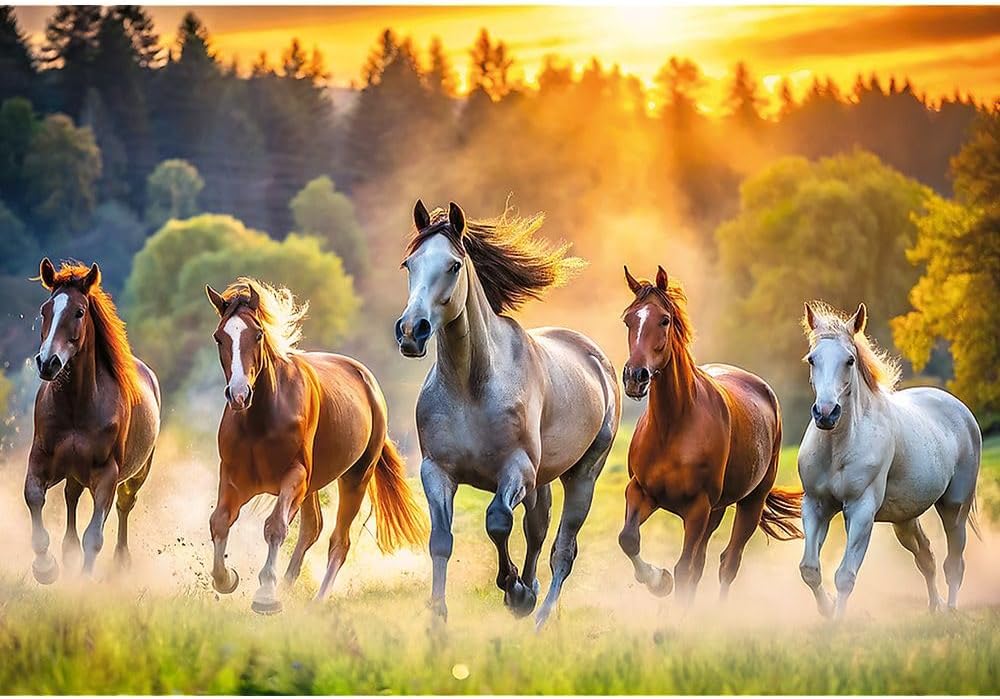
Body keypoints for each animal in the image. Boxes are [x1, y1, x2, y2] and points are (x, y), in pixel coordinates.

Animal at [25, 259, 161, 584]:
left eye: (79, 312)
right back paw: (67, 554)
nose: (47, 363)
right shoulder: (40, 458)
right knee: (71, 497)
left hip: (136, 475)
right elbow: (34, 498)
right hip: (74, 472)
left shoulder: (107, 475)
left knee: (124, 506)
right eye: (45, 310)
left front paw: (84, 583)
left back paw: (121, 562)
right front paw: (45, 567)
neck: (78, 405)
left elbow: (94, 535)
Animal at [205, 277, 427, 614]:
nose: (240, 394)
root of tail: (368, 382)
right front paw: (227, 578)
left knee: (339, 541)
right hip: (311, 487)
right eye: (219, 337)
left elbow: (275, 526)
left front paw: (265, 596)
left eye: (257, 334)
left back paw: (317, 600)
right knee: (313, 528)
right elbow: (219, 522)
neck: (261, 418)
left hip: (354, 479)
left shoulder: (294, 477)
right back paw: (287, 585)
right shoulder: (234, 478)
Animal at [395, 201, 620, 628]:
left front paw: (513, 589)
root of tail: (597, 359)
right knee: (537, 529)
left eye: (453, 265)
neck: (472, 386)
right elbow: (441, 541)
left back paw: (538, 615)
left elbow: (497, 520)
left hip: (582, 475)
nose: (412, 331)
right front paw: (438, 619)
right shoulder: (437, 471)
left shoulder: (516, 470)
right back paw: (530, 593)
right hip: (542, 480)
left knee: (562, 550)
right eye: (408, 264)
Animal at [618, 265, 802, 606]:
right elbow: (629, 540)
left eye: (664, 319)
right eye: (629, 319)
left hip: (749, 504)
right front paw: (658, 581)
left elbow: (683, 568)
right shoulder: (641, 492)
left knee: (728, 562)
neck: (672, 427)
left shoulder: (697, 508)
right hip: (717, 511)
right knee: (704, 563)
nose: (635, 377)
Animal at [798, 301, 982, 618]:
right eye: (812, 359)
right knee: (926, 557)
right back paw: (934, 608)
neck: (838, 447)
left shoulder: (861, 510)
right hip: (905, 519)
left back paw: (950, 610)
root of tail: (959, 408)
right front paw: (828, 609)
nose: (826, 413)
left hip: (954, 508)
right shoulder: (815, 505)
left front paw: (836, 622)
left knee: (954, 563)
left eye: (849, 360)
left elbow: (845, 575)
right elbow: (810, 569)